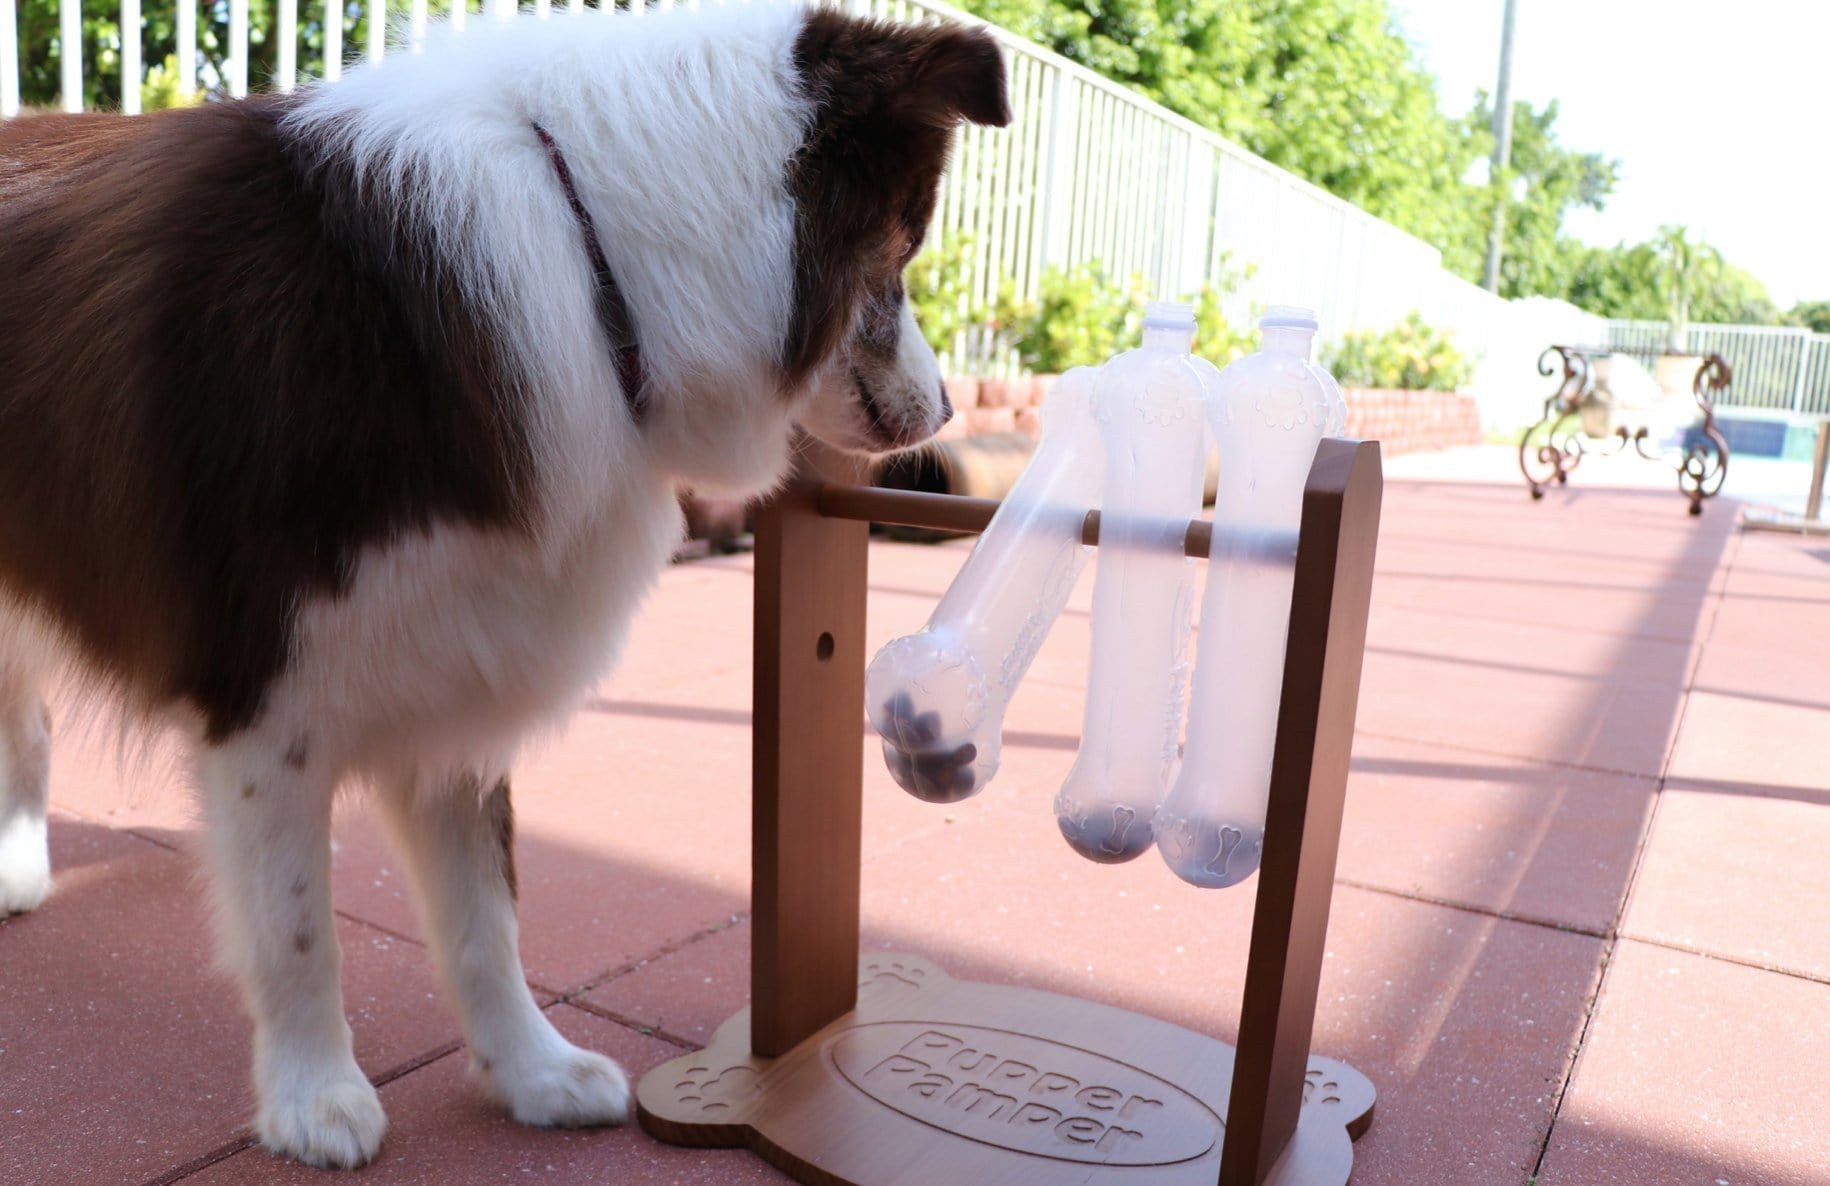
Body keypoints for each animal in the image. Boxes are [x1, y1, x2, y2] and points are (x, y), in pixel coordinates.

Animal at [0, 6, 1002, 1164]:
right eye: (904, 249)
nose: (944, 412)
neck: (592, 245)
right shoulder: (263, 693)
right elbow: (297, 926)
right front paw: (313, 1097)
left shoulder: (464, 651)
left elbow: (488, 917)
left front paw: (530, 1072)